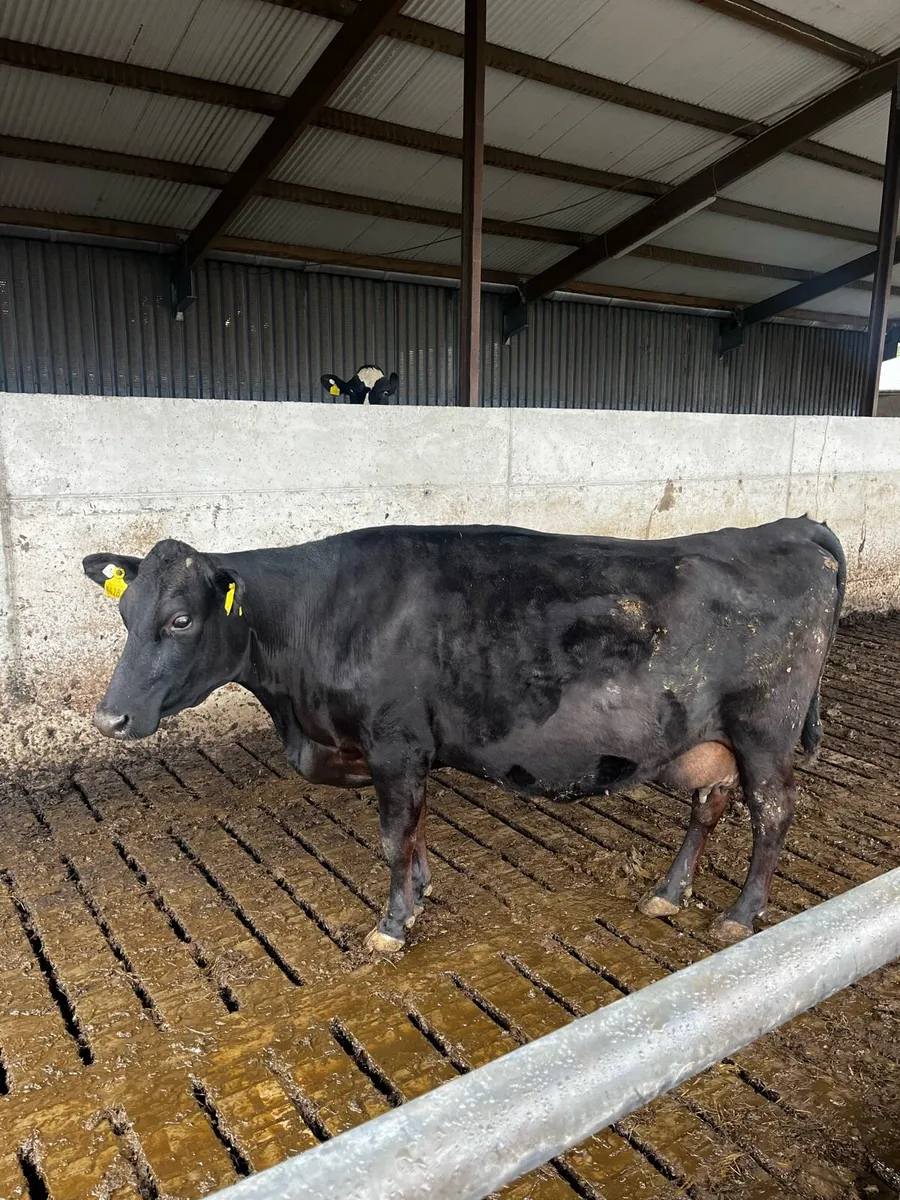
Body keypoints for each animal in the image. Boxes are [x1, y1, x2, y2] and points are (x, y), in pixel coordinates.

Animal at [83, 516, 845, 954]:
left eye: (181, 619)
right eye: (122, 613)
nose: (109, 717)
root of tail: (790, 526)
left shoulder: (395, 743)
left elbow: (393, 836)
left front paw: (392, 925)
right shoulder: (405, 752)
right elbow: (415, 832)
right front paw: (418, 897)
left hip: (764, 729)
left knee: (773, 812)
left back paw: (741, 913)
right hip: (710, 738)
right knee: (709, 805)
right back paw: (669, 891)